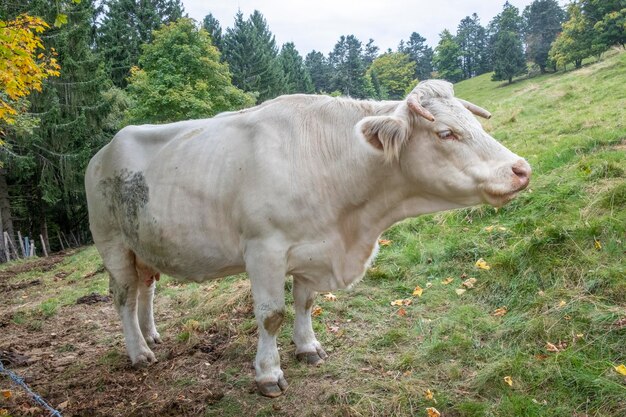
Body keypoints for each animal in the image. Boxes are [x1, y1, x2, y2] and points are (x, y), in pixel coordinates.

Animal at [85, 79, 528, 394]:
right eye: (445, 134)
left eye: (472, 123)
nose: (521, 169)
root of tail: (102, 151)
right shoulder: (263, 250)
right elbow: (271, 315)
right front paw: (268, 374)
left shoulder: (312, 250)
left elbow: (306, 303)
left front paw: (308, 348)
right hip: (113, 244)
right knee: (123, 297)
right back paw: (139, 351)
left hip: (144, 243)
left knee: (146, 288)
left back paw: (151, 334)